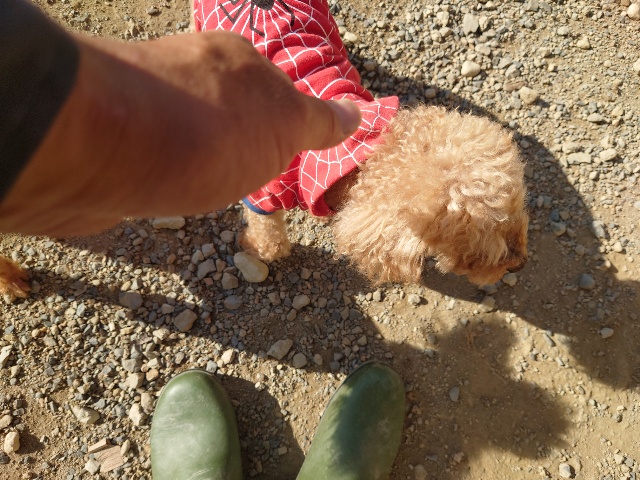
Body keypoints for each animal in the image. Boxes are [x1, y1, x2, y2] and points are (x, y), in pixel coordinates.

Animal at [194, 0, 529, 286]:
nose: (520, 264)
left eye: (517, 210)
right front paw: (253, 245)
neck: (360, 155)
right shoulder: (268, 186)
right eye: (471, 255)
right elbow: (270, 241)